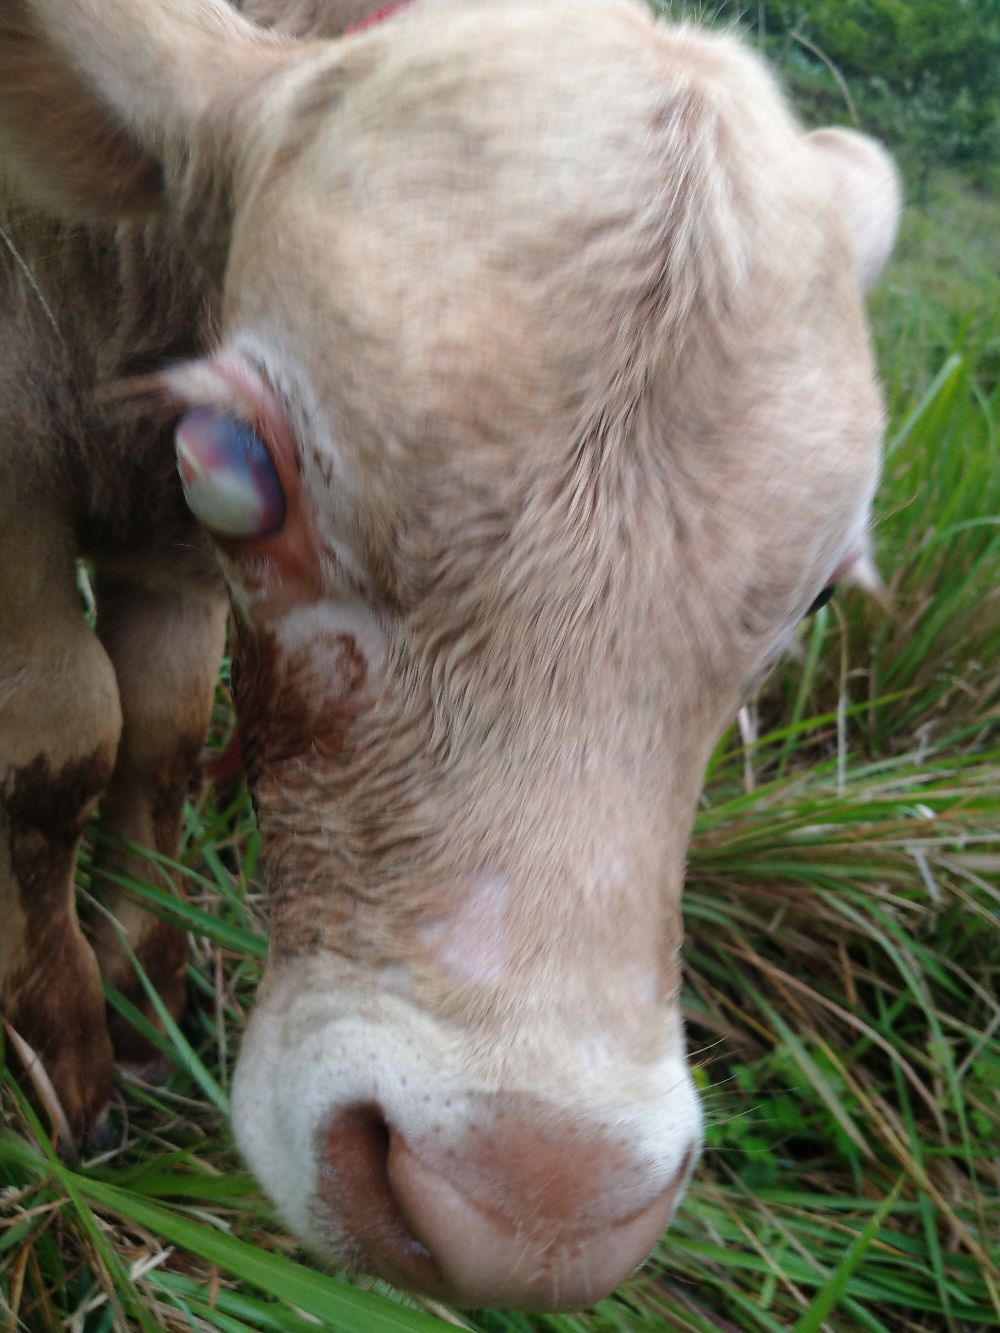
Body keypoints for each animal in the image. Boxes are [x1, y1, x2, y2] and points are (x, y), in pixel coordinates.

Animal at [0, 0, 901, 1311]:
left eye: (822, 589)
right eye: (240, 463)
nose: (532, 1206)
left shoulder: (168, 565)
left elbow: (159, 735)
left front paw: (143, 998)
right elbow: (61, 743)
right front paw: (60, 1057)